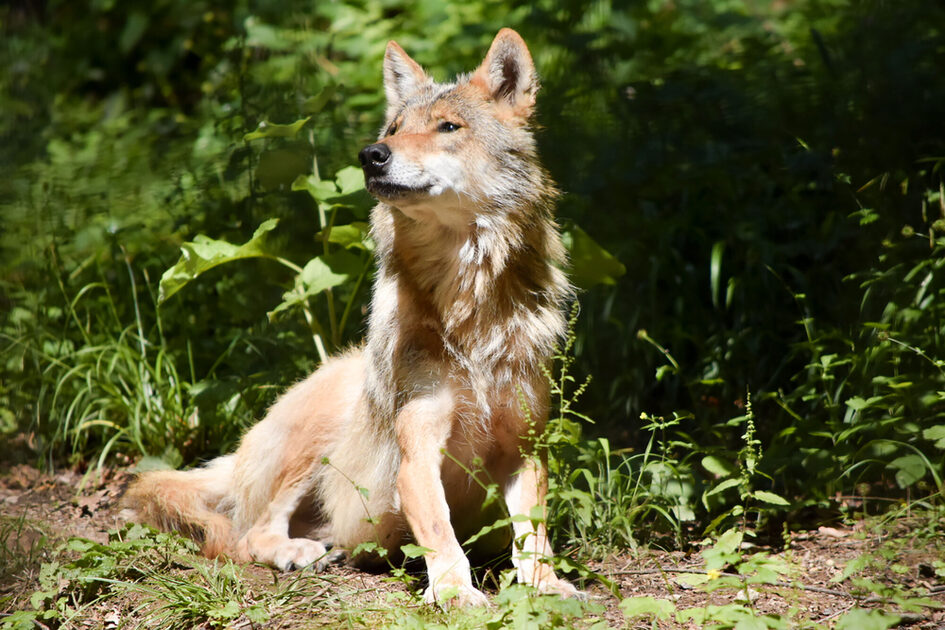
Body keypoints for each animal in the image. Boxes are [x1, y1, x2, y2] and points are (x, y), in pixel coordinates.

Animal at [124, 28, 579, 606]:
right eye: (394, 129)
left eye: (447, 127)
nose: (371, 154)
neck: (468, 308)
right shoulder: (418, 453)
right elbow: (440, 530)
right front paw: (457, 593)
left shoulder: (525, 447)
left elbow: (535, 532)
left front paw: (546, 584)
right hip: (318, 434)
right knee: (251, 533)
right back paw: (297, 553)